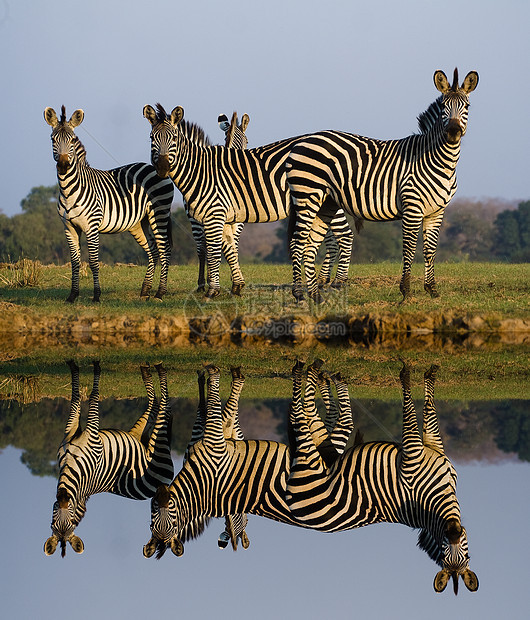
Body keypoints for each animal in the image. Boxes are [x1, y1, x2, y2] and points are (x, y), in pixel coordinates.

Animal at [44, 105, 173, 302]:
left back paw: (160, 292)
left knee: (164, 249)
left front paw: (96, 296)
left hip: (159, 213)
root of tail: (155, 167)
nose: (64, 165)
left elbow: (93, 262)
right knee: (153, 250)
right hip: (138, 223)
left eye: (72, 140)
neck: (68, 191)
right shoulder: (69, 228)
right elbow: (75, 262)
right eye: (53, 139)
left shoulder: (91, 227)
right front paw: (72, 295)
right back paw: (145, 290)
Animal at [140, 360, 350, 560]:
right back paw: (322, 376)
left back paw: (322, 377)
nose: (160, 491)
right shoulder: (214, 443)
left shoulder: (212, 441)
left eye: (154, 519)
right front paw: (217, 375)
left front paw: (213, 376)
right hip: (321, 446)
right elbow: (218, 409)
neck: (201, 483)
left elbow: (214, 410)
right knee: (336, 420)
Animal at [284, 364, 478, 596]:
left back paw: (311, 373)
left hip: (315, 458)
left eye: (463, 556)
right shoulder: (425, 451)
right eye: (446, 549)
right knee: (315, 418)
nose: (454, 531)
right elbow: (424, 412)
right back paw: (320, 375)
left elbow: (419, 413)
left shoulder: (418, 455)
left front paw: (413, 375)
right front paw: (424, 375)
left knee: (307, 418)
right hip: (322, 451)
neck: (435, 497)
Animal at [286, 67, 476, 302]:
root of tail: (301, 142)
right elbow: (409, 249)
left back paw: (315, 295)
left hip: (325, 203)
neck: (439, 161)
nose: (453, 132)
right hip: (307, 196)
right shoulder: (412, 207)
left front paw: (432, 289)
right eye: (443, 106)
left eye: (467, 106)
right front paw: (405, 291)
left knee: (310, 245)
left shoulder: (437, 211)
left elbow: (430, 250)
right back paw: (299, 294)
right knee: (297, 244)